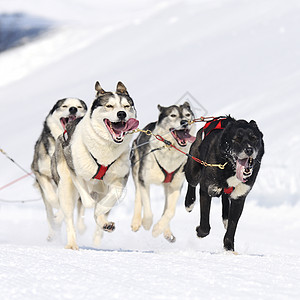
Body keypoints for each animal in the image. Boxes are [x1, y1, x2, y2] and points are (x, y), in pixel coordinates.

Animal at [184, 116, 264, 252]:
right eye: (237, 139)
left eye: (254, 138)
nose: (249, 150)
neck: (230, 167)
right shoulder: (206, 189)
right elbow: (205, 225)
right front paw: (199, 232)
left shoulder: (239, 198)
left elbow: (232, 226)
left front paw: (229, 247)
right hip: (193, 169)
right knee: (192, 182)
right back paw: (189, 203)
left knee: (225, 198)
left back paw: (225, 217)